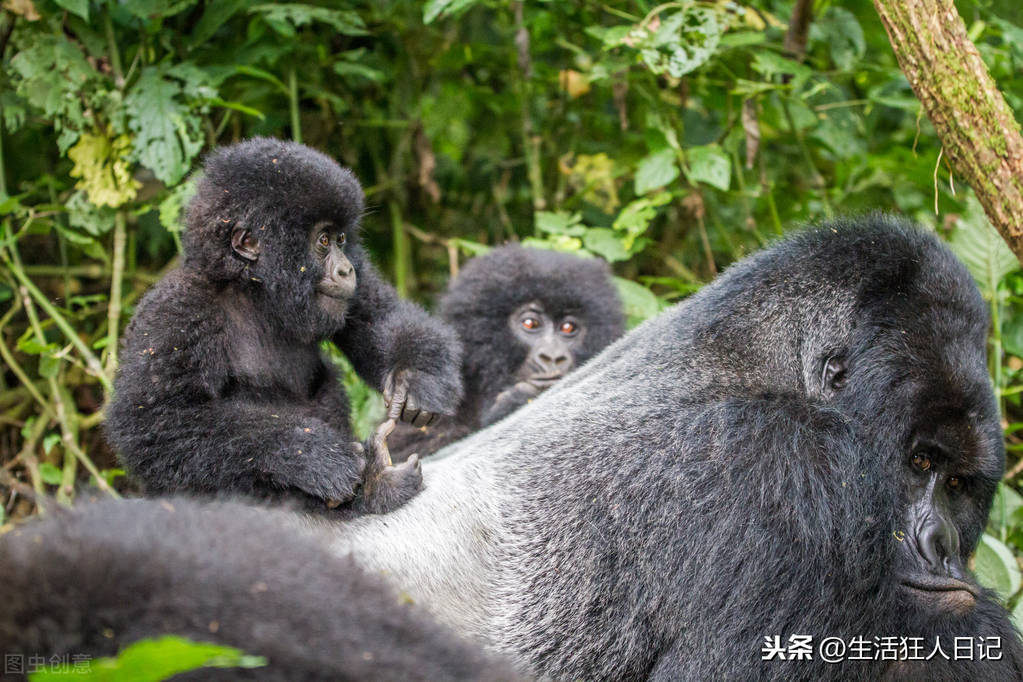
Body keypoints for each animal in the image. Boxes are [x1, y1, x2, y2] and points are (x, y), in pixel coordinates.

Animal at [101, 139, 462, 511]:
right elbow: (153, 423)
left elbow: (377, 314)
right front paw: (311, 453)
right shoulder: (175, 310)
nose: (347, 269)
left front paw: (416, 379)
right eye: (323, 241)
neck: (253, 291)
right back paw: (374, 486)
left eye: (341, 239)